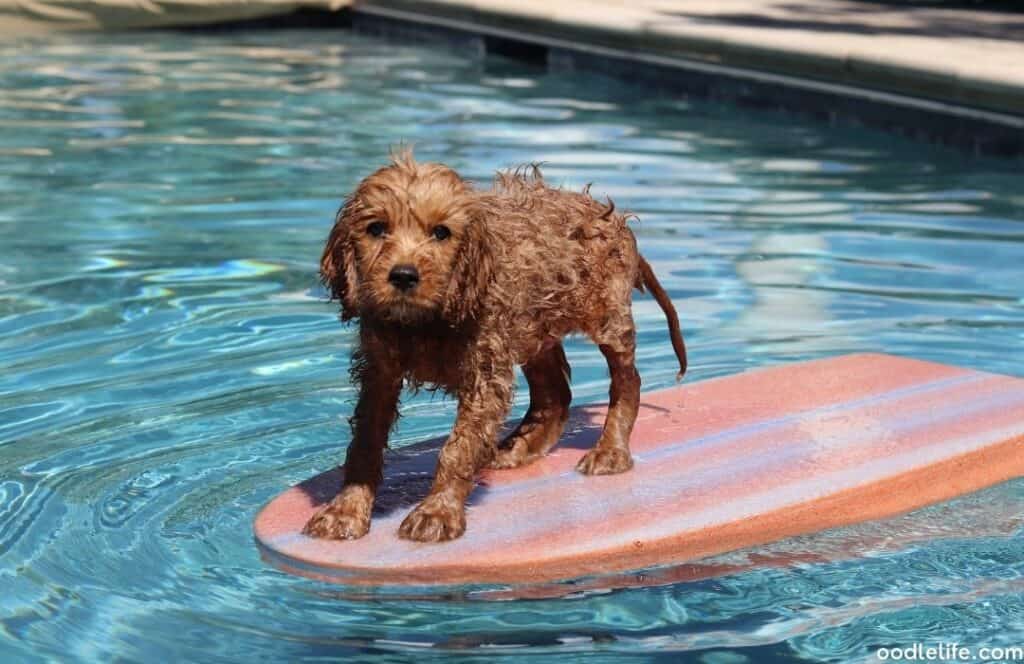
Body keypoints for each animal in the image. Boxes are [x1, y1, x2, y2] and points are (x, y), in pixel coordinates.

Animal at [303, 151, 688, 545]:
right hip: (533, 326)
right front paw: (346, 509)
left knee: (627, 381)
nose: (404, 276)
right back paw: (521, 447)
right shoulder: (379, 371)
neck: (425, 320)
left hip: (606, 317)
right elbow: (365, 442)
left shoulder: (484, 373)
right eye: (376, 229)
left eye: (441, 232)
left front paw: (437, 511)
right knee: (554, 392)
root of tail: (609, 215)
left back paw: (610, 451)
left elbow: (457, 448)